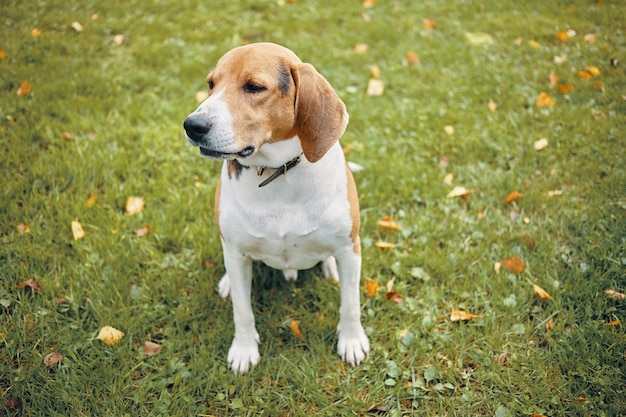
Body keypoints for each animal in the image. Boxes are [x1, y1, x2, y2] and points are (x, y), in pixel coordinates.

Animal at [183, 42, 368, 374]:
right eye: (211, 84)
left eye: (254, 87)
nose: (192, 125)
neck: (277, 173)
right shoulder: (236, 252)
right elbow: (242, 311)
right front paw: (244, 350)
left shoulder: (350, 250)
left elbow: (350, 304)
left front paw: (351, 340)